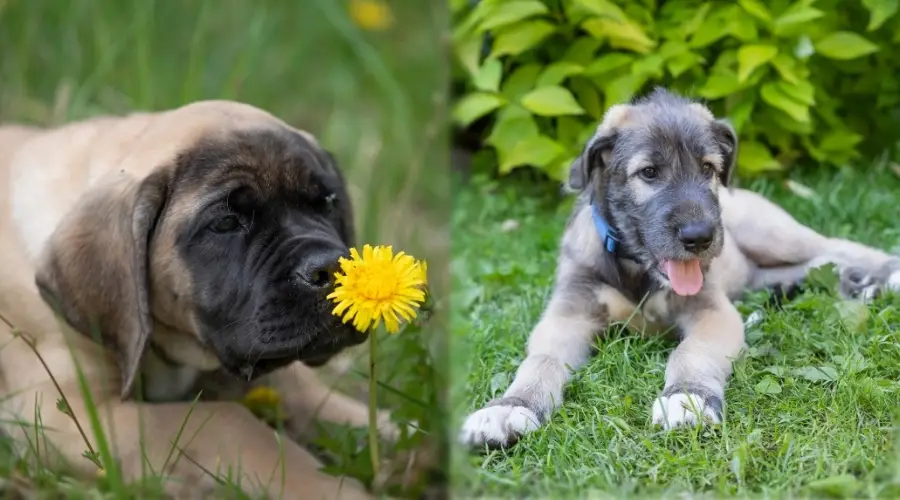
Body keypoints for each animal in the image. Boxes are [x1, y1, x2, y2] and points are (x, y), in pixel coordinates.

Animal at [0, 99, 394, 498]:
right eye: (225, 223)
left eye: (327, 203)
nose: (332, 268)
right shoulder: (74, 411)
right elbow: (229, 421)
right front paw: (331, 487)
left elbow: (312, 396)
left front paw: (389, 435)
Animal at [460, 87, 900, 450]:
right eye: (649, 173)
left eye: (708, 169)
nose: (699, 237)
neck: (637, 268)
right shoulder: (568, 313)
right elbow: (541, 360)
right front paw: (510, 406)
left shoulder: (712, 310)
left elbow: (691, 351)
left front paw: (686, 397)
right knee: (799, 270)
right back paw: (855, 285)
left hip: (771, 232)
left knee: (833, 247)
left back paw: (882, 275)